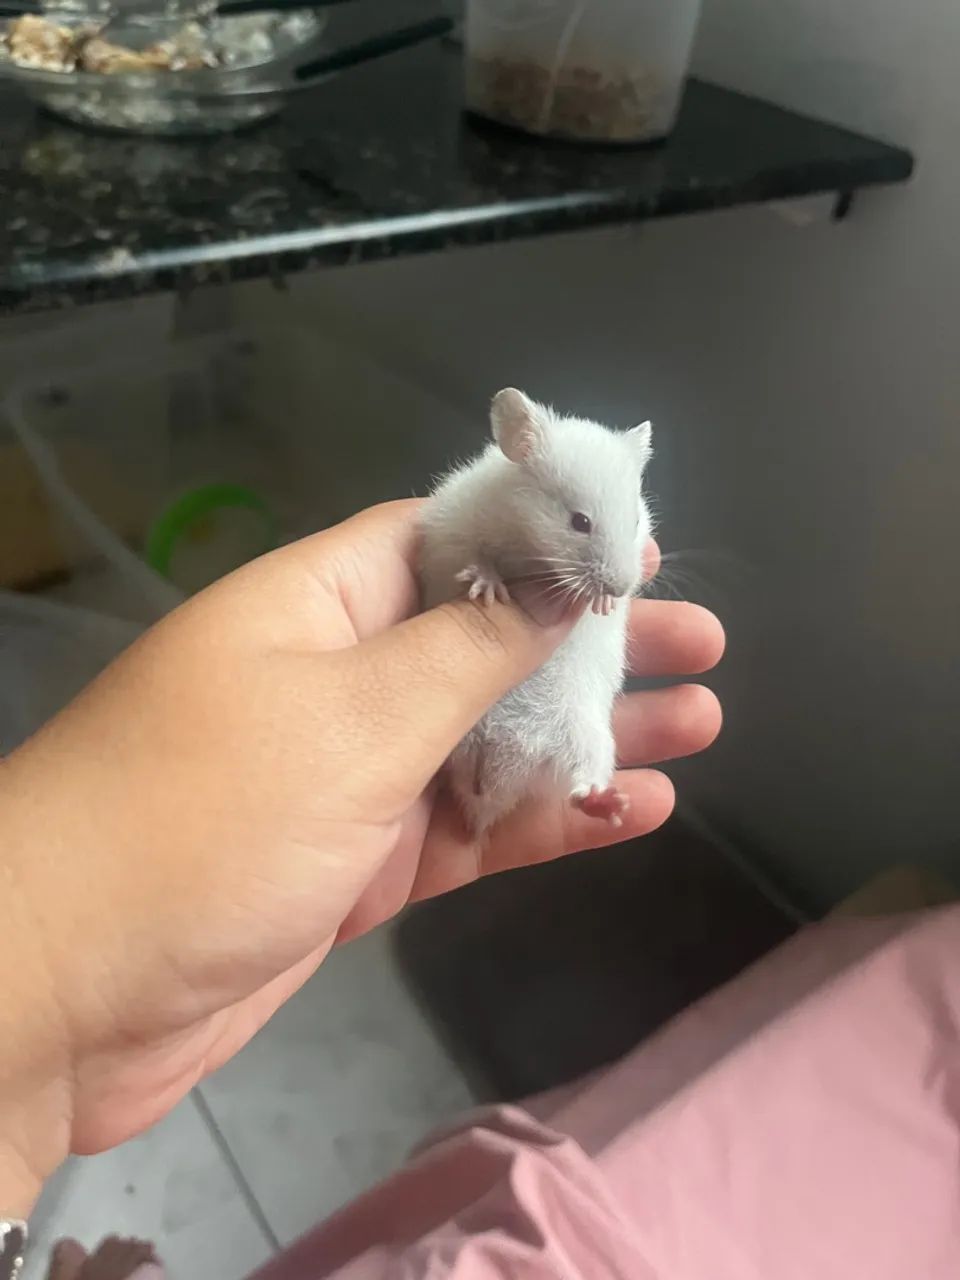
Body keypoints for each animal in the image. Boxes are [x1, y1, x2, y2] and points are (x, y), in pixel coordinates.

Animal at [420, 387, 654, 836]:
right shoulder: (448, 534)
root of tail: (489, 794)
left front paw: (603, 605)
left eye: (635, 521)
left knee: (581, 781)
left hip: (588, 735)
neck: (529, 546)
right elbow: (472, 558)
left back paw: (608, 804)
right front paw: (488, 588)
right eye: (579, 522)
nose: (619, 588)